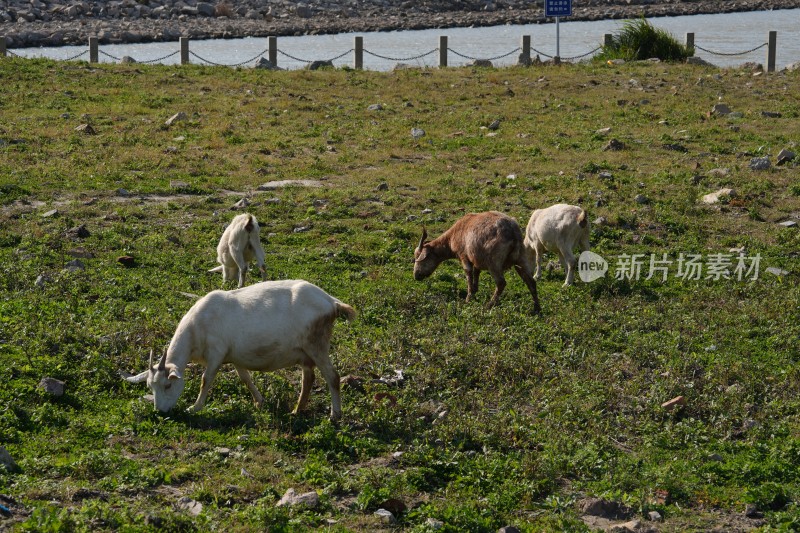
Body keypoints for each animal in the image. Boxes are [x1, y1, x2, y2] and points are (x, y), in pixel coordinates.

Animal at [124, 278, 356, 420]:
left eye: (168, 385)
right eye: (150, 387)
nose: (160, 412)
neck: (198, 326)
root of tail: (331, 301)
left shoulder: (216, 353)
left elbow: (205, 380)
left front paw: (195, 407)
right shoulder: (234, 356)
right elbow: (245, 378)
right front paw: (259, 401)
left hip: (317, 345)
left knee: (332, 376)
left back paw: (335, 415)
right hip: (306, 353)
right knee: (308, 379)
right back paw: (296, 411)